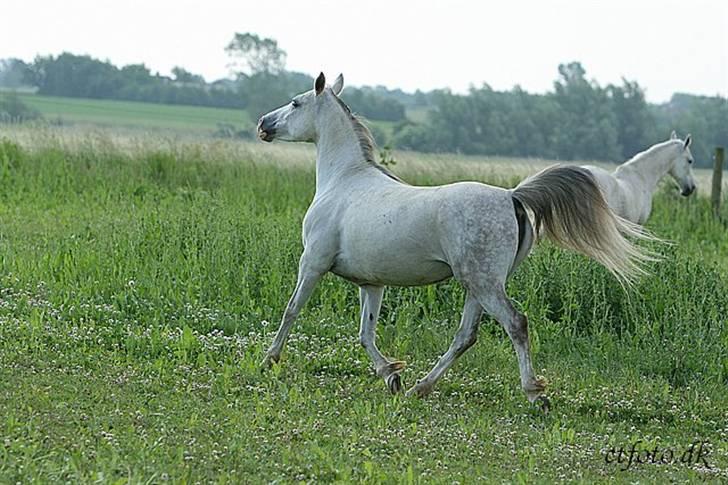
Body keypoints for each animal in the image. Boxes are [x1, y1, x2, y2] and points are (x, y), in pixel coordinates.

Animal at [258, 73, 652, 408]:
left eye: (295, 103)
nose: (263, 124)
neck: (344, 181)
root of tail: (512, 196)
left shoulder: (313, 262)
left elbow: (292, 309)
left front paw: (269, 360)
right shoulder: (372, 283)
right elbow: (365, 333)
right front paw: (391, 376)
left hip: (483, 283)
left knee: (515, 324)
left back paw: (534, 394)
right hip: (478, 284)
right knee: (466, 336)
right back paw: (420, 387)